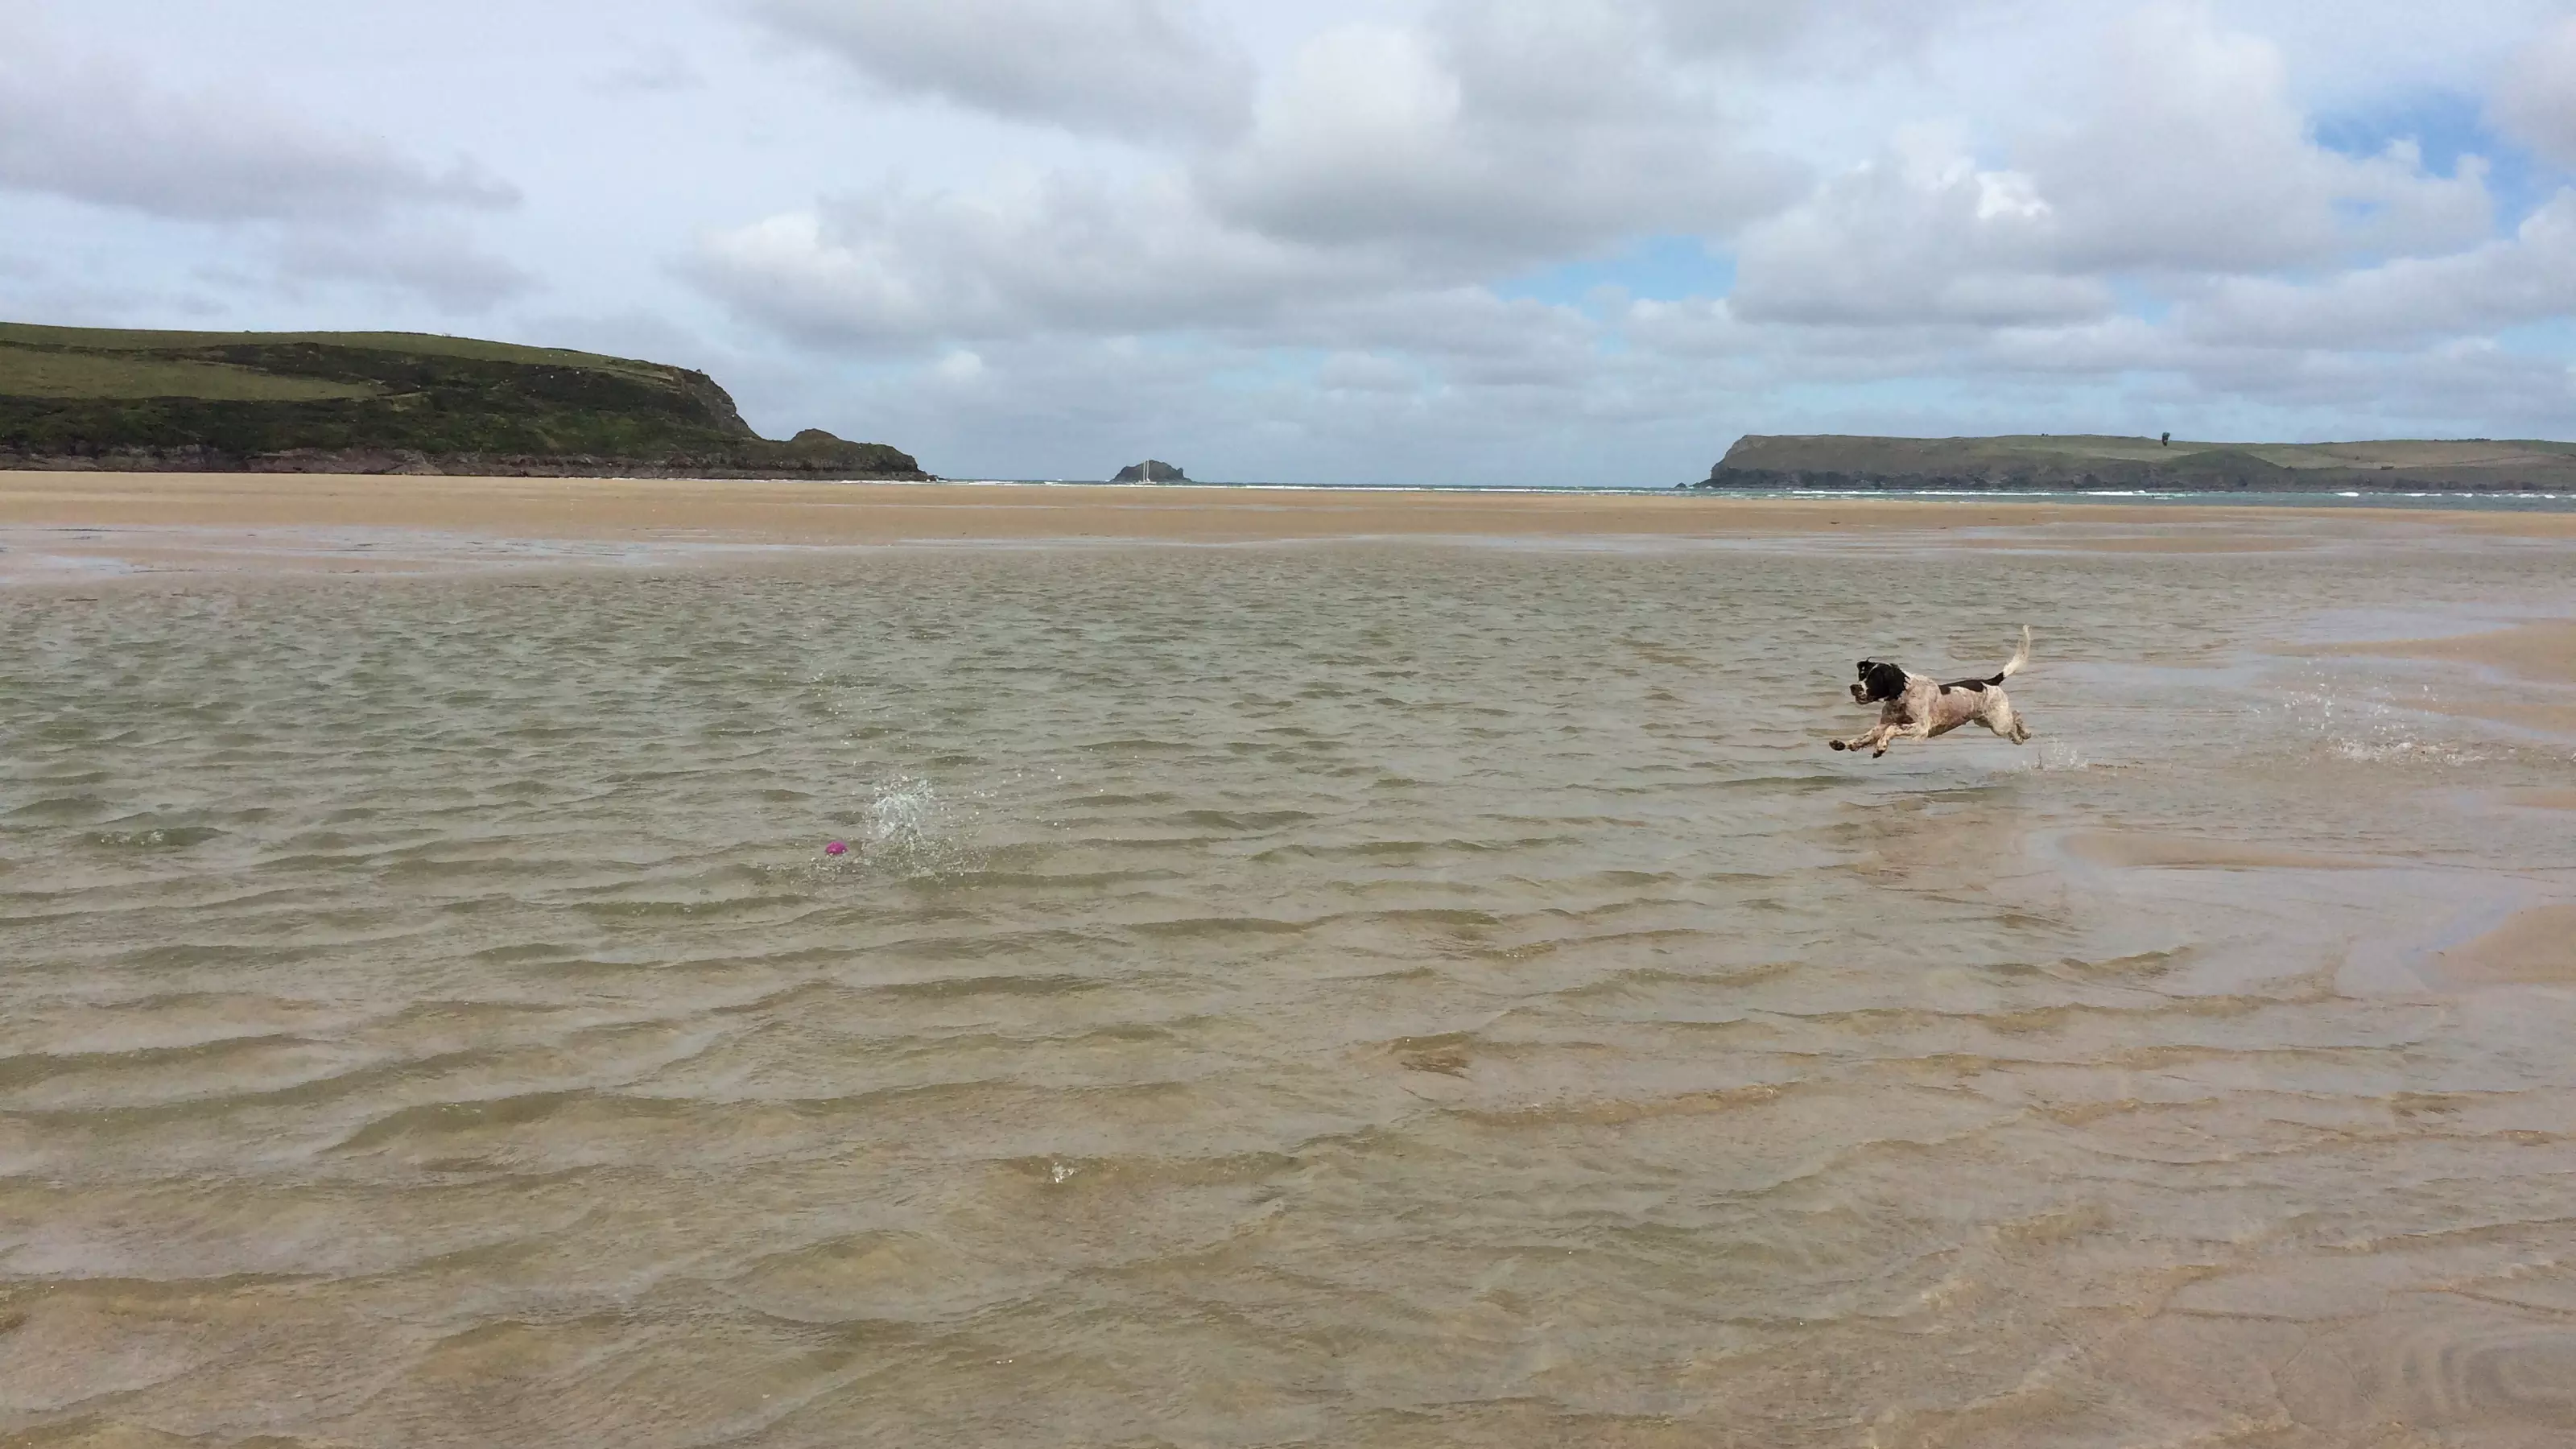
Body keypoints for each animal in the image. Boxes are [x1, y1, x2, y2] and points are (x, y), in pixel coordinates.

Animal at [1834, 624, 2029, 758]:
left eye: (1873, 679)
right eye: (1861, 675)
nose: (1854, 687)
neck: (1902, 696)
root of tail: (1990, 682)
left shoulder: (1921, 727)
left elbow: (1891, 730)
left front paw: (1881, 747)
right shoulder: (1883, 724)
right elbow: (1867, 736)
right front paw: (1845, 743)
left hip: (1998, 723)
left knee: (2016, 717)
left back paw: (2023, 735)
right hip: (1984, 721)